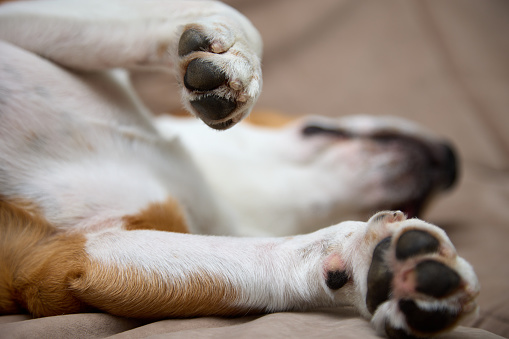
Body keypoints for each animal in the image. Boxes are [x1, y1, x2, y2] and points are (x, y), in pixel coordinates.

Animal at [0, 1, 478, 338]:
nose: (452, 161)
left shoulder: (70, 257)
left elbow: (266, 259)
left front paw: (371, 262)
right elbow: (225, 13)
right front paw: (230, 57)